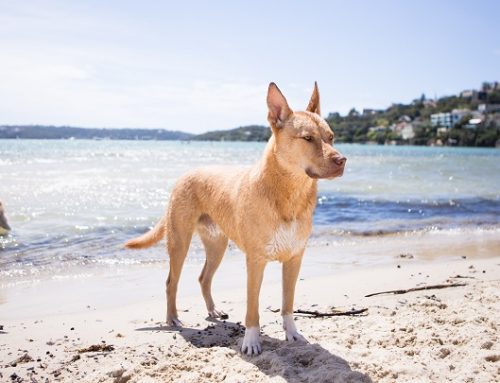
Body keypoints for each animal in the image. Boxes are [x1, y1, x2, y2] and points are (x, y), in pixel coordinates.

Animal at [125, 82, 346, 356]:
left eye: (331, 137)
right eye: (308, 138)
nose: (341, 161)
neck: (290, 193)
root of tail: (187, 172)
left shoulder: (294, 260)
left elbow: (288, 303)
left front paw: (292, 334)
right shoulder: (255, 261)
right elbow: (253, 308)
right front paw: (251, 342)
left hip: (217, 245)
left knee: (204, 278)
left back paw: (212, 310)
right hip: (179, 242)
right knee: (171, 282)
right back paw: (172, 319)